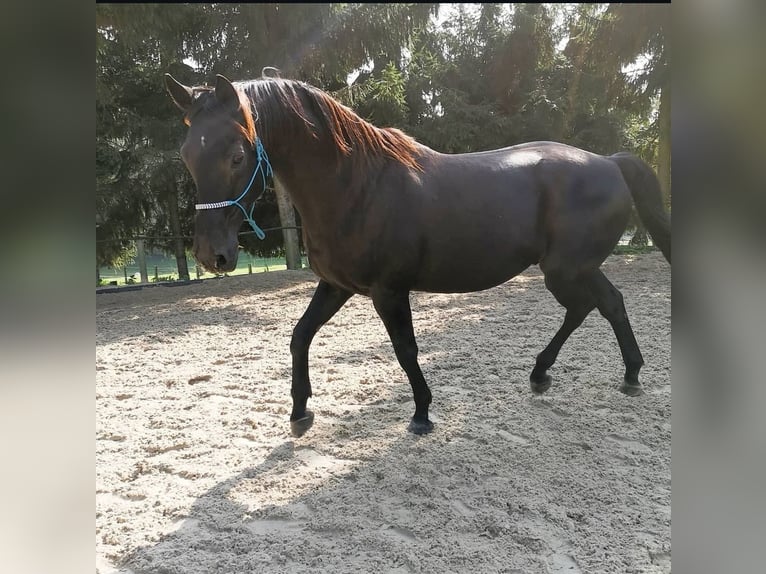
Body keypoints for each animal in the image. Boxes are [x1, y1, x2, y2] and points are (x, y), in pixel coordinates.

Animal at [164, 74, 672, 438]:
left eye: (236, 154)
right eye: (187, 154)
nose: (212, 255)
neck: (355, 184)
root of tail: (610, 162)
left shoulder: (389, 291)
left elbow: (405, 349)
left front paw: (422, 413)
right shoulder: (337, 286)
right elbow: (300, 335)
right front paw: (299, 409)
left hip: (566, 269)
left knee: (594, 306)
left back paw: (586, 373)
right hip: (575, 269)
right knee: (601, 305)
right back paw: (581, 374)